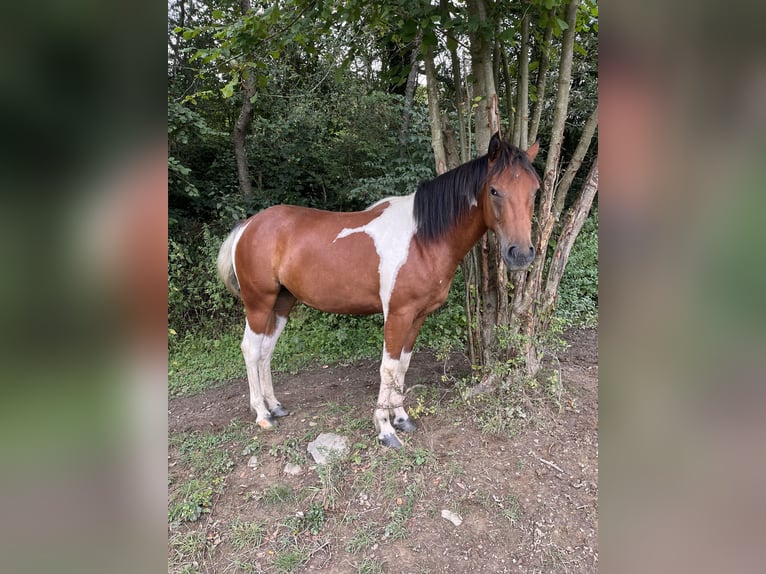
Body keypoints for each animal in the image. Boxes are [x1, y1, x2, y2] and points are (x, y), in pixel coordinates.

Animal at [216, 134, 540, 450]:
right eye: (495, 190)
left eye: (535, 191)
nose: (521, 254)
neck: (422, 239)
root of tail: (249, 225)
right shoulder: (397, 314)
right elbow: (388, 368)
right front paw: (385, 430)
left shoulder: (417, 315)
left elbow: (403, 366)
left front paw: (402, 418)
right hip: (259, 303)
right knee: (251, 349)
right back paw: (262, 414)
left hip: (283, 302)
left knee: (266, 350)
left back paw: (274, 406)